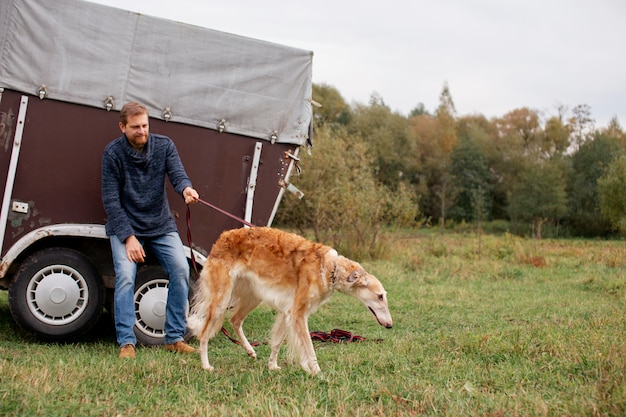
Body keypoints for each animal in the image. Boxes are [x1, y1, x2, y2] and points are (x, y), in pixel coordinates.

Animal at [188, 226, 392, 376]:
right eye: (380, 296)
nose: (390, 325)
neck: (329, 268)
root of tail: (222, 237)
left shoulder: (287, 312)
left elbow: (277, 342)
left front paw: (272, 366)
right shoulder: (298, 314)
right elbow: (309, 347)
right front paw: (317, 372)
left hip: (252, 296)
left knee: (235, 320)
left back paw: (250, 350)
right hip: (221, 300)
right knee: (204, 334)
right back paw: (206, 365)